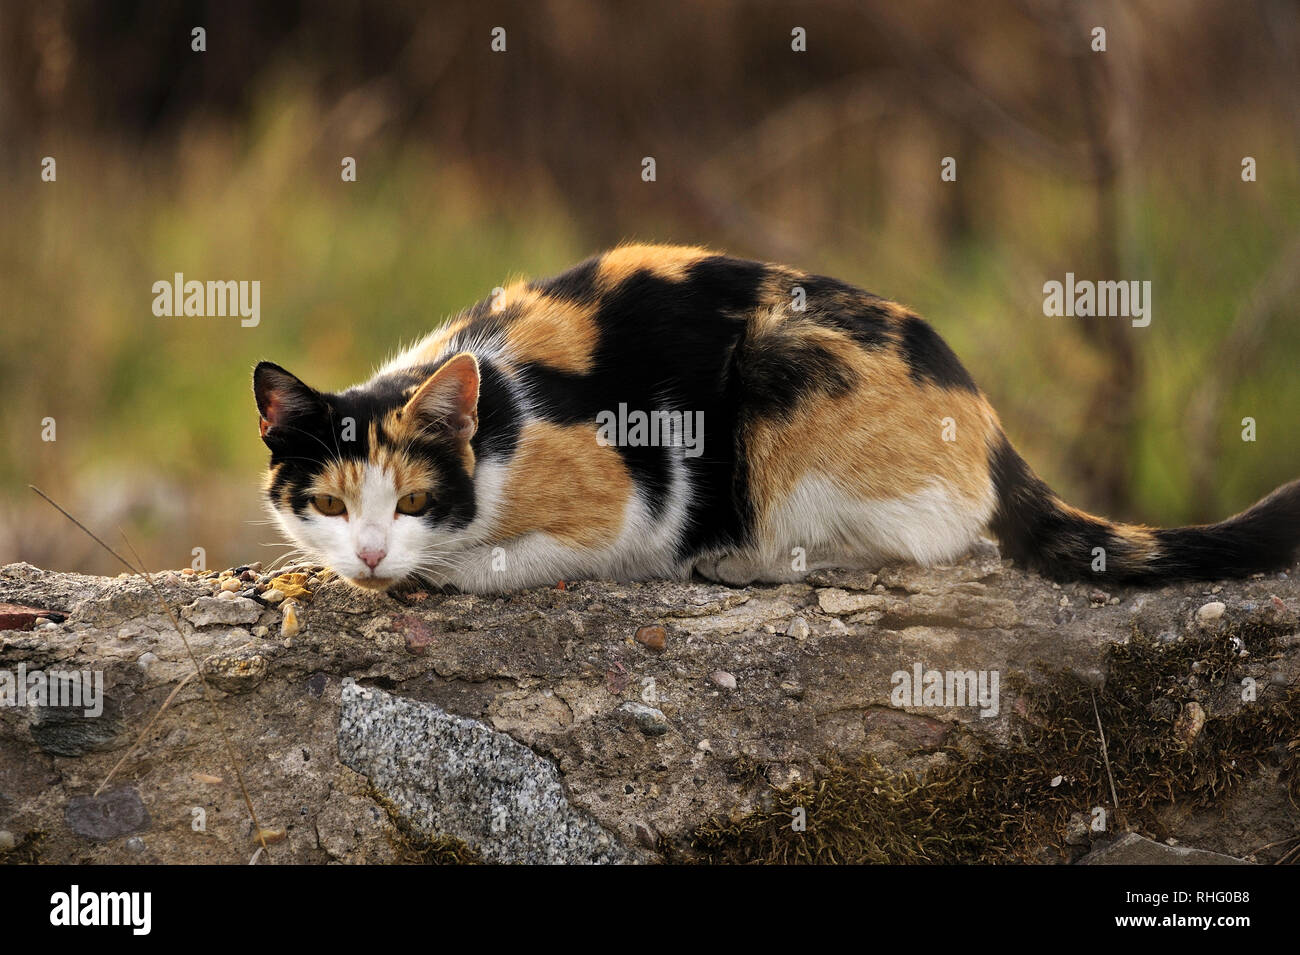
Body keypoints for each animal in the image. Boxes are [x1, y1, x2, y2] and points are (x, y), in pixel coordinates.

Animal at [256, 242, 1300, 595]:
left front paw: (438, 570)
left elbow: (499, 561)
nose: (371, 554)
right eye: (331, 504)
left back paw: (736, 558)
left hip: (784, 373)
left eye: (415, 499)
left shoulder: (628, 498)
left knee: (919, 544)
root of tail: (992, 426)